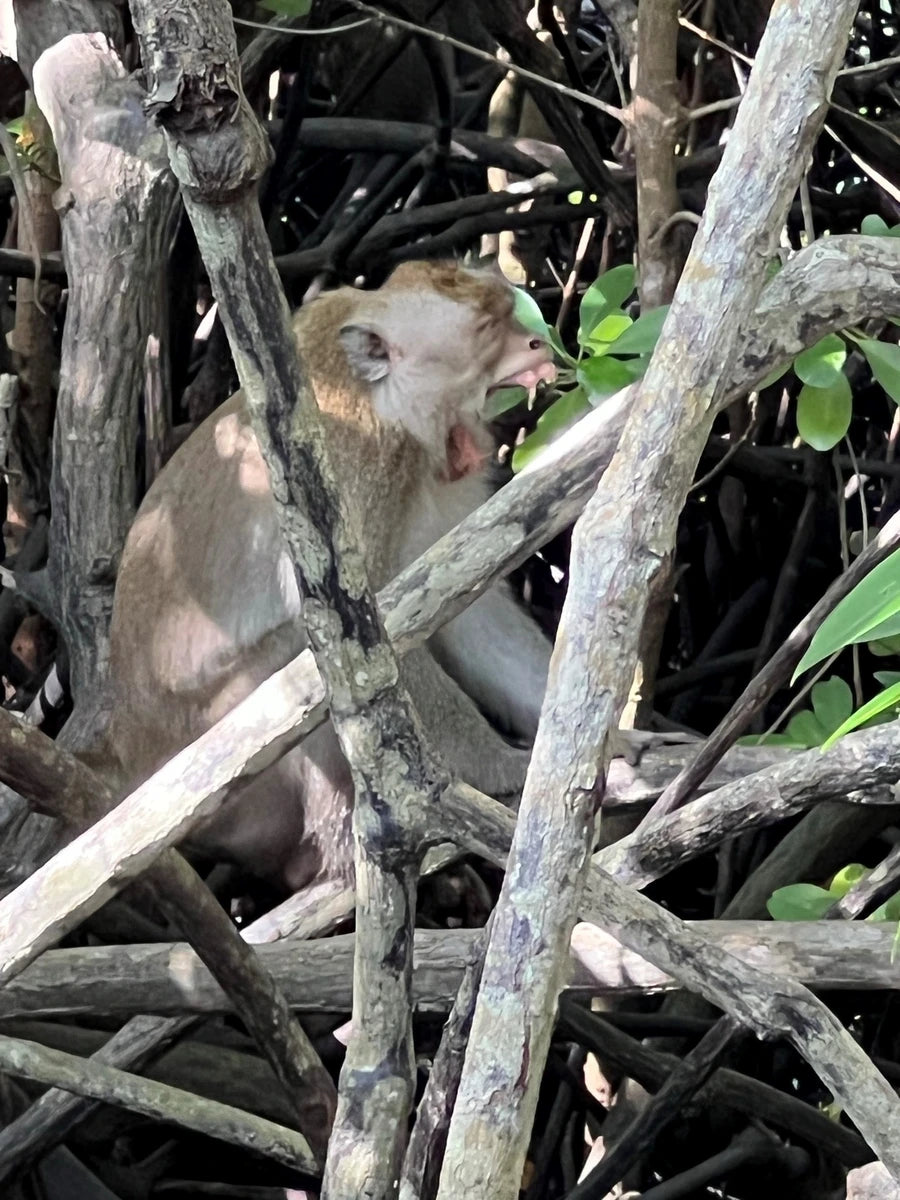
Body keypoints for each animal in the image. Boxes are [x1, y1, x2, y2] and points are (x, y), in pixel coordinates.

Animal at [105, 258, 556, 892]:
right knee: (294, 657)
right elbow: (361, 646)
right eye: (489, 327)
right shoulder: (359, 470)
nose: (539, 342)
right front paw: (501, 771)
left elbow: (465, 609)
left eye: (505, 309)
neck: (382, 396)